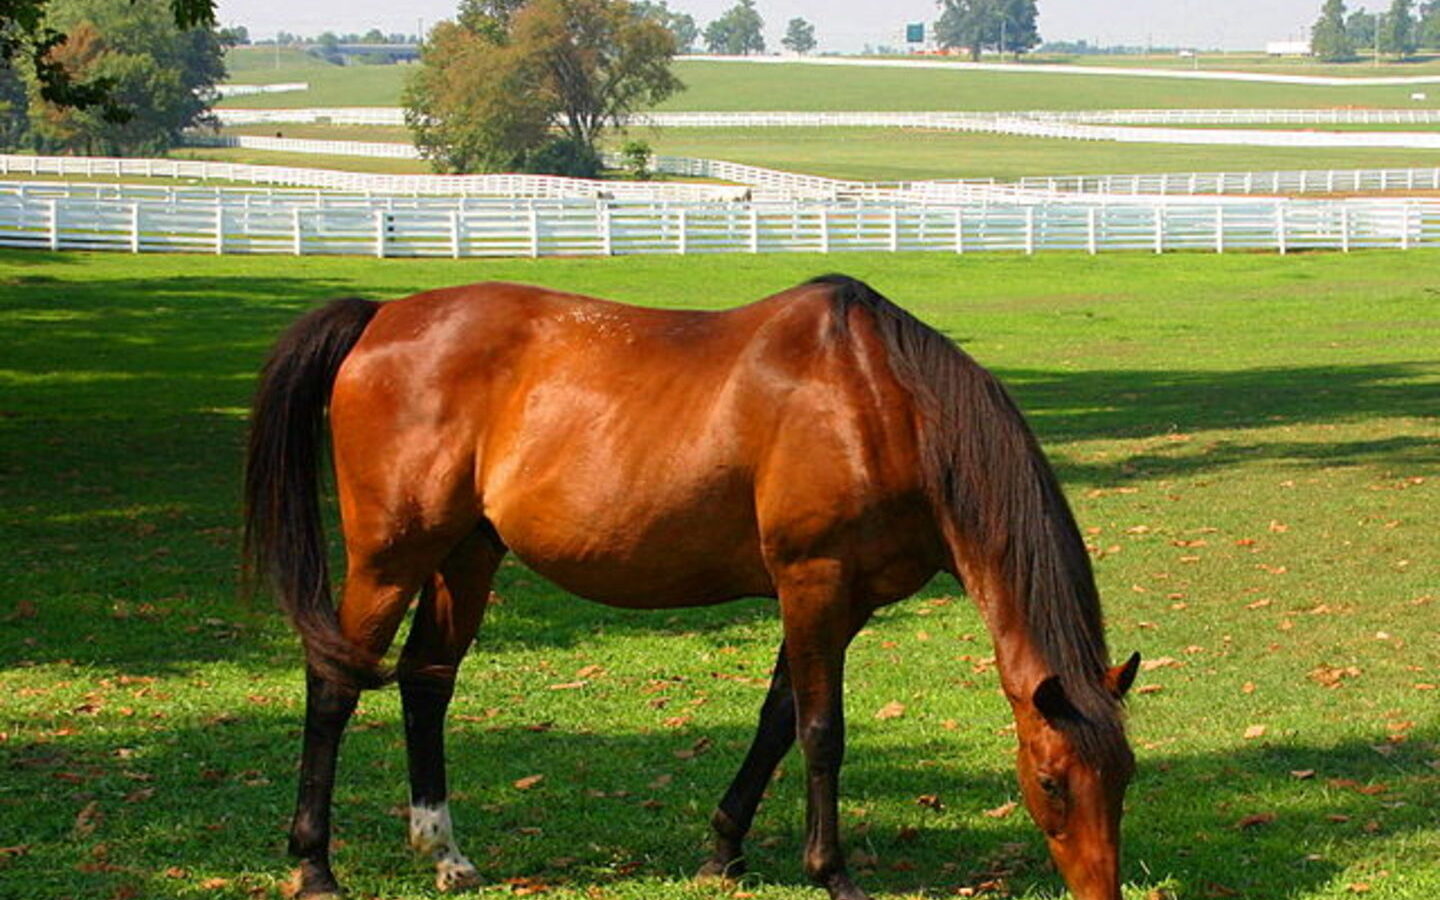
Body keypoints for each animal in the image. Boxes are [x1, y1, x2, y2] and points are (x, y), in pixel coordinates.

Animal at [243, 274, 1141, 900]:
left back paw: (447, 855)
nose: (1101, 891)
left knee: (427, 683)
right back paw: (314, 866)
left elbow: (776, 721)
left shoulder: (841, 603)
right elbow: (821, 732)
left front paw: (722, 849)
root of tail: (383, 315)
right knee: (334, 685)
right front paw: (832, 871)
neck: (885, 405)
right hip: (390, 557)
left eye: (1126, 774)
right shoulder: (814, 583)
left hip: (467, 552)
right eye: (1052, 781)